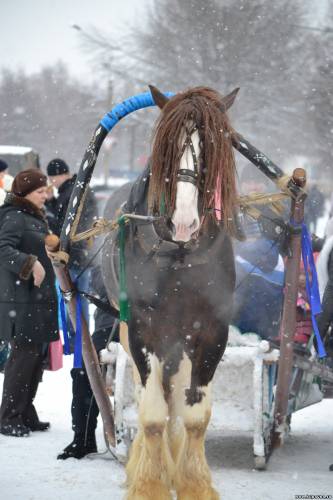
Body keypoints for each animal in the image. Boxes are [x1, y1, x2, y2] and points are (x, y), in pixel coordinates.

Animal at [102, 84, 237, 498]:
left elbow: (193, 415)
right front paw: (150, 483)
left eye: (213, 145)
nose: (183, 222)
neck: (177, 256)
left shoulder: (211, 331)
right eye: (166, 148)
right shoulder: (143, 331)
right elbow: (152, 414)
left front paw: (193, 482)